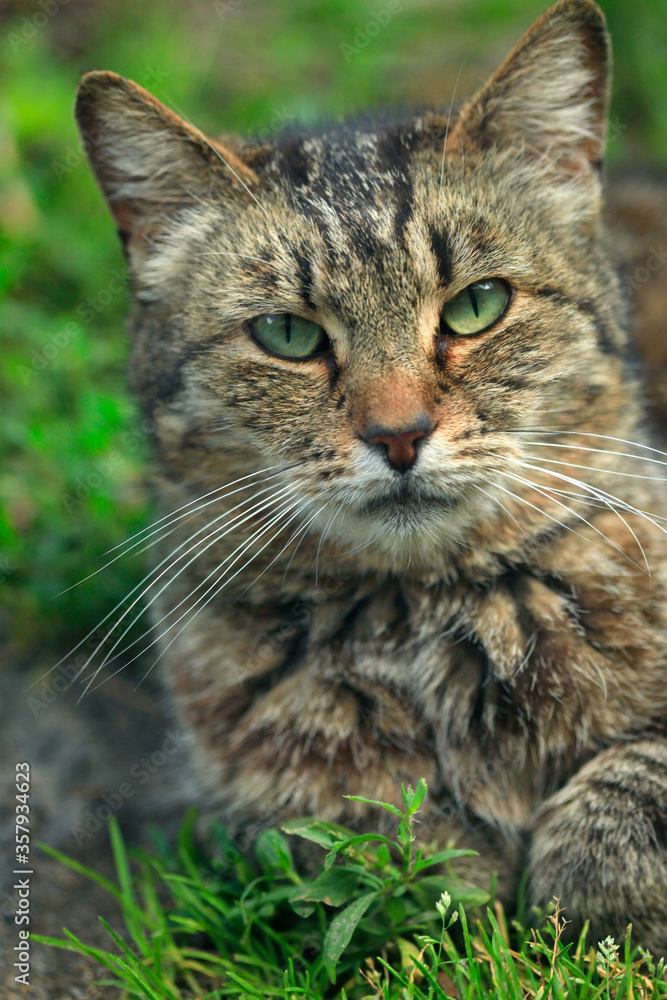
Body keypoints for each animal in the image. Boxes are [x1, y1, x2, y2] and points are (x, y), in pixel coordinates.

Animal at [73, 0, 667, 952]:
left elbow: (617, 807)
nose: (398, 434)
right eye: (286, 334)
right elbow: (375, 847)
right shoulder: (258, 794)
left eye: (476, 306)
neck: (422, 620)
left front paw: (577, 893)